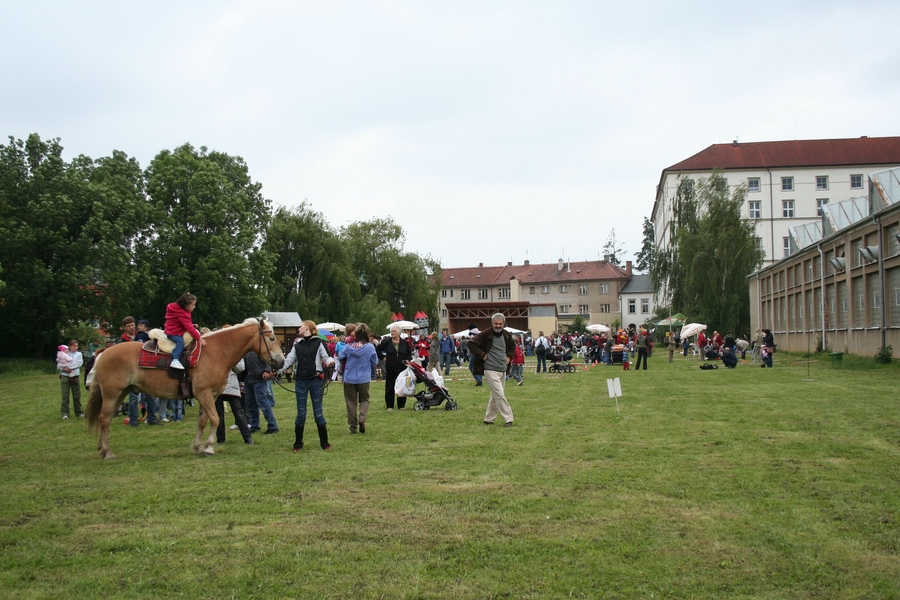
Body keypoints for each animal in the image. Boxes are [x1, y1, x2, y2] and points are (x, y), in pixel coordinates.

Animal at [85, 317, 284, 460]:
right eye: (271, 338)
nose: (281, 361)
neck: (217, 352)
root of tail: (104, 352)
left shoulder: (210, 396)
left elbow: (203, 421)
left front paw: (198, 447)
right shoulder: (204, 394)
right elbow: (214, 419)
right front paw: (209, 447)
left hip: (121, 393)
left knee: (106, 418)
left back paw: (102, 449)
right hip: (112, 393)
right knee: (104, 418)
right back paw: (107, 452)